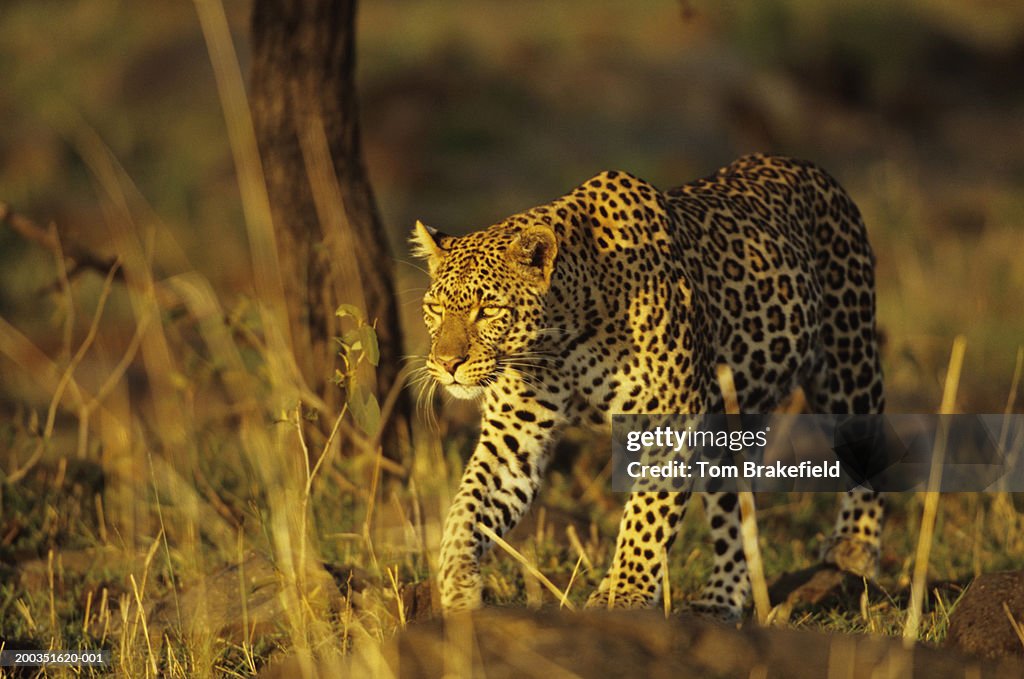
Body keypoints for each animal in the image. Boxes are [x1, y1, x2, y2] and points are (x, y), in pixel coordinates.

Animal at [411, 153, 884, 622]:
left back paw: (854, 546)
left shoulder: (672, 422)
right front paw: (456, 585)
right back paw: (719, 599)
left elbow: (647, 518)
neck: (559, 341)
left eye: (489, 310)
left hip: (848, 356)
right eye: (434, 308)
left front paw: (623, 595)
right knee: (733, 507)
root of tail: (804, 164)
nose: (447, 364)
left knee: (868, 438)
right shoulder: (515, 435)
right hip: (728, 425)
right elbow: (467, 507)